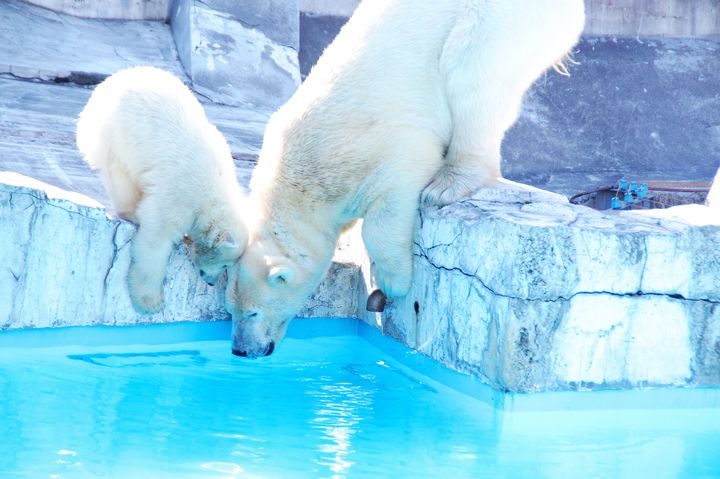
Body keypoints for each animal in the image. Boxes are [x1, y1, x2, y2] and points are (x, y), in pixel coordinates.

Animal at [76, 67, 248, 316]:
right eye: (226, 264)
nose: (210, 282)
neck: (216, 189)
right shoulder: (181, 193)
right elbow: (156, 238)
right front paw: (151, 302)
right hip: (116, 133)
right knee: (120, 175)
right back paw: (131, 211)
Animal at [228, 0, 588, 356]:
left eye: (252, 313)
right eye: (231, 310)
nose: (240, 350)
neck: (302, 183)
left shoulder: (374, 147)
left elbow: (390, 201)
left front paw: (393, 281)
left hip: (501, 20)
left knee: (471, 71)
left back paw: (448, 184)